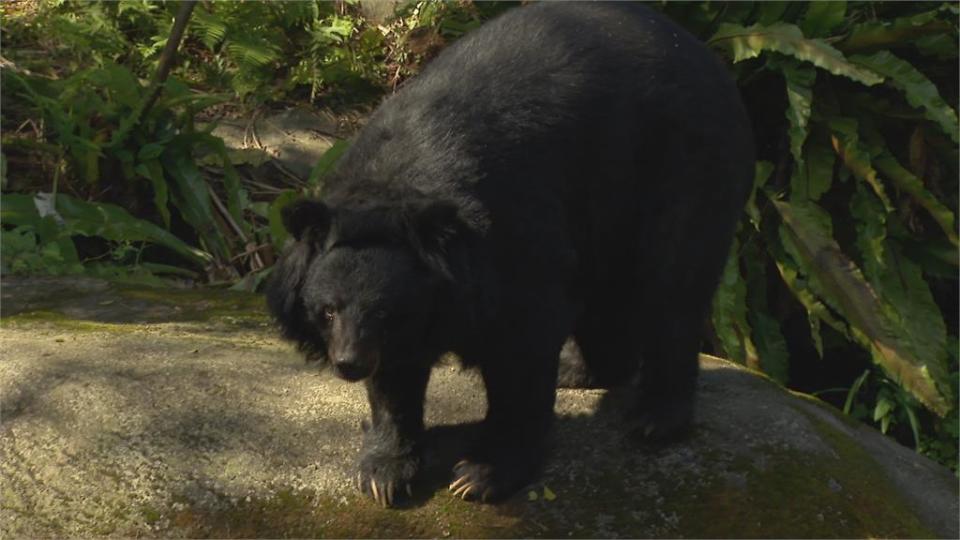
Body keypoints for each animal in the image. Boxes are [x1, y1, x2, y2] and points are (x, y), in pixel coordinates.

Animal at [266, 2, 752, 506]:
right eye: (327, 310)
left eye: (384, 312)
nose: (349, 363)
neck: (396, 181)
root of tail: (707, 55)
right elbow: (395, 381)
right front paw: (383, 473)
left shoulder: (511, 236)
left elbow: (524, 344)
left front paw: (480, 473)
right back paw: (580, 370)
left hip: (685, 163)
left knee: (673, 284)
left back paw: (655, 418)